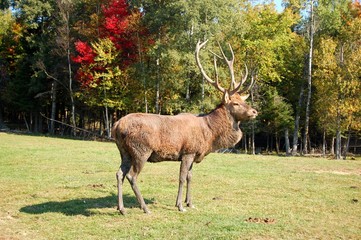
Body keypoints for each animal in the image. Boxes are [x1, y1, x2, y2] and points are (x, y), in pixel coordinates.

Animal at [112, 39, 256, 214]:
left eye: (243, 100)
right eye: (235, 103)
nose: (254, 111)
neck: (209, 133)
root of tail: (116, 125)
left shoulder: (194, 153)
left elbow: (190, 177)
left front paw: (190, 203)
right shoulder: (188, 151)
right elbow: (181, 177)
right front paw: (180, 205)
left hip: (124, 151)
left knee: (119, 173)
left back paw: (121, 208)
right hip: (141, 150)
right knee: (131, 175)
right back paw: (145, 208)